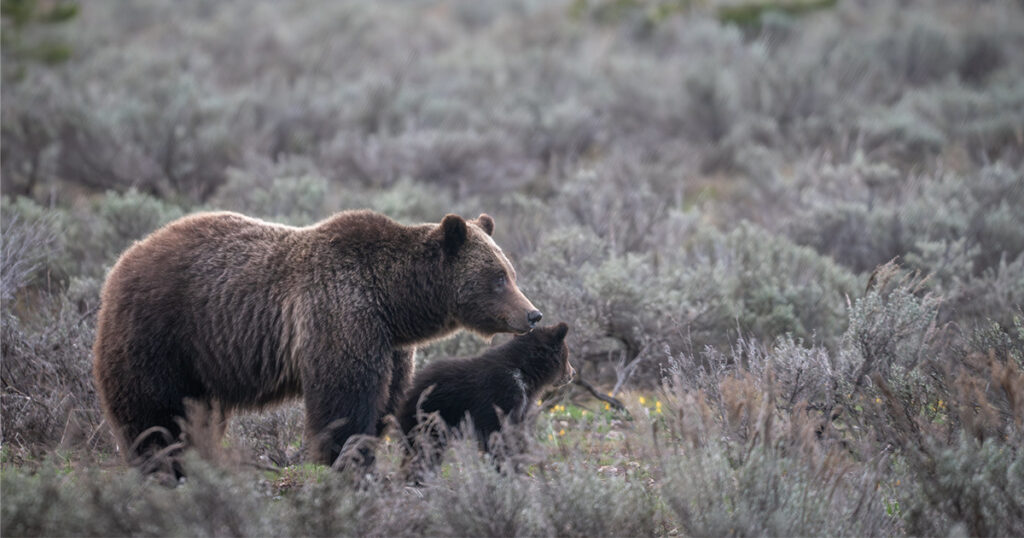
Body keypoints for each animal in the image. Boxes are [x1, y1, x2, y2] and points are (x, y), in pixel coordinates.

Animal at [92, 209, 542, 473]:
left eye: (510, 272)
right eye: (497, 277)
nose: (532, 314)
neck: (395, 302)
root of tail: (123, 259)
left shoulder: (390, 345)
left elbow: (385, 401)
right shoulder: (342, 313)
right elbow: (344, 400)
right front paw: (345, 462)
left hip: (199, 361)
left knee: (196, 414)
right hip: (161, 333)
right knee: (154, 413)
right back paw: (162, 466)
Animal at [397, 322, 574, 475]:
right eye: (567, 355)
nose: (573, 373)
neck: (524, 373)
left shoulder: (521, 405)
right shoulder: (500, 395)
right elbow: (497, 434)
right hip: (431, 415)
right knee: (424, 447)